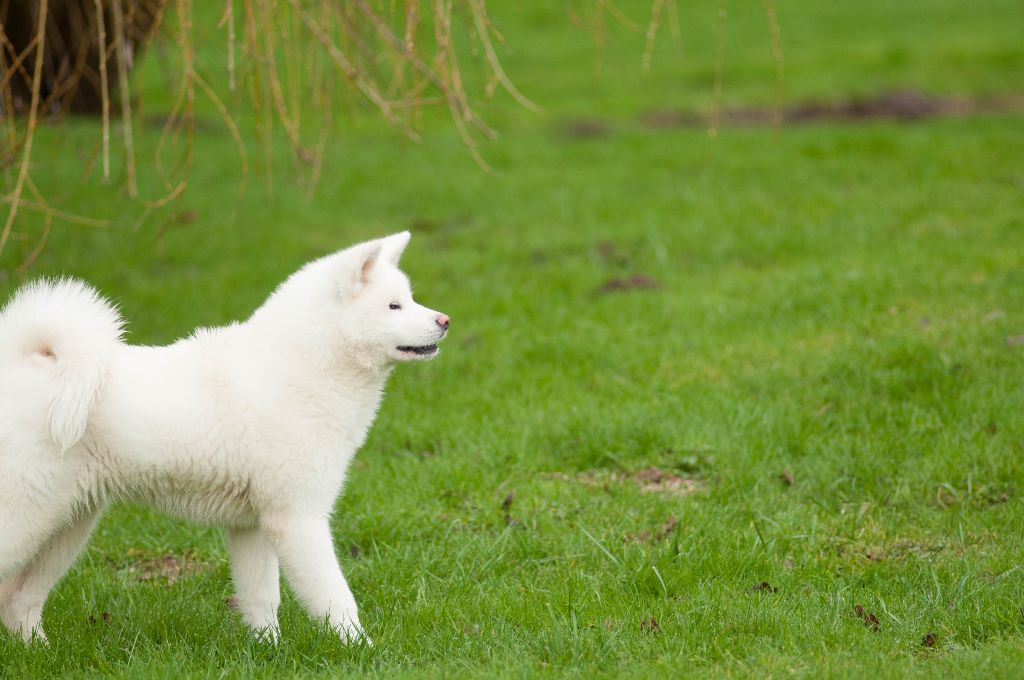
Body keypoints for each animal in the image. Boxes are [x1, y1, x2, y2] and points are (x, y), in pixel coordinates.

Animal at [0, 232, 448, 643]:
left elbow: (261, 599)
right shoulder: (298, 518)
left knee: (18, 600)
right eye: (393, 306)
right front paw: (362, 651)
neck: (298, 370)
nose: (445, 321)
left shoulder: (252, 526)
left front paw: (267, 651)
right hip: (29, 516)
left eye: (410, 299)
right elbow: (334, 598)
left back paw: (38, 651)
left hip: (67, 524)